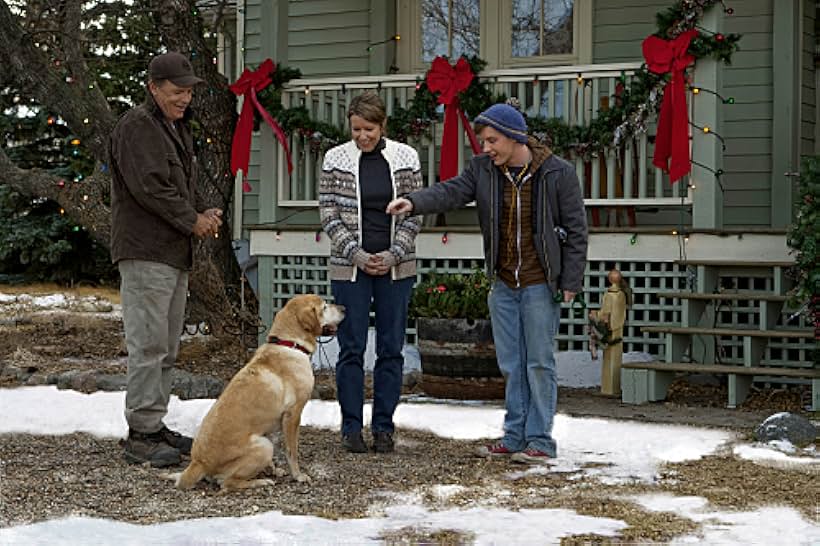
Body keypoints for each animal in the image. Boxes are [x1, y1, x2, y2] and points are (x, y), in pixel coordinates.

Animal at [175, 294, 344, 488]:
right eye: (324, 307)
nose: (345, 308)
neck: (290, 344)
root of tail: (199, 463)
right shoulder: (293, 414)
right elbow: (292, 450)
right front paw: (298, 475)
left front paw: (274, 469)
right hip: (263, 446)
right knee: (228, 483)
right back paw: (261, 481)